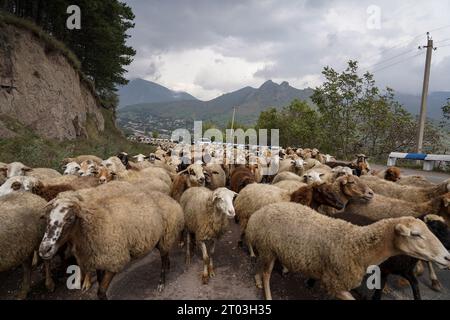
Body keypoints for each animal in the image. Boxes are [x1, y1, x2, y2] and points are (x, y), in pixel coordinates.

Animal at [39, 189, 185, 298]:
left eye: (69, 219)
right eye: (47, 218)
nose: (44, 249)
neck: (93, 225)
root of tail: (170, 199)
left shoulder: (114, 260)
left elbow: (101, 292)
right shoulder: (98, 260)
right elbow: (99, 283)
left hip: (166, 235)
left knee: (163, 258)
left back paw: (161, 283)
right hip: (160, 238)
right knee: (165, 254)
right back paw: (168, 265)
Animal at [246, 202, 450, 300]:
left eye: (431, 230)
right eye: (415, 234)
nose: (447, 257)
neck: (356, 244)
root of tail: (259, 212)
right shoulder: (336, 283)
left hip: (267, 249)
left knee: (260, 265)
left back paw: (256, 279)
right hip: (269, 249)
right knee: (267, 274)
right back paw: (267, 292)